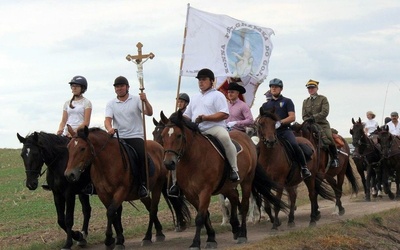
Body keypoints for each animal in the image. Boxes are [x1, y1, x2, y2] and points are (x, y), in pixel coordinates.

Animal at [63, 126, 191, 249]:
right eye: (68, 148)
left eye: (82, 148)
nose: (69, 175)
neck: (107, 163)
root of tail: (160, 147)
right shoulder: (103, 194)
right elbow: (113, 214)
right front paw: (118, 239)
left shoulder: (121, 190)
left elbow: (111, 212)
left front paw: (110, 240)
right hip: (143, 193)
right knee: (150, 207)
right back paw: (158, 232)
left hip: (157, 186)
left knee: (153, 209)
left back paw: (148, 237)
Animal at [160, 110, 288, 249]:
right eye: (163, 136)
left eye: (178, 135)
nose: (168, 163)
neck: (193, 159)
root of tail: (247, 138)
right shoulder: (190, 194)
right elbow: (205, 215)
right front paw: (211, 238)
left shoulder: (205, 191)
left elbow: (200, 217)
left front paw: (196, 242)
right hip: (226, 186)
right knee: (234, 197)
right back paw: (236, 228)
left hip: (246, 181)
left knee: (244, 205)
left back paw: (242, 234)